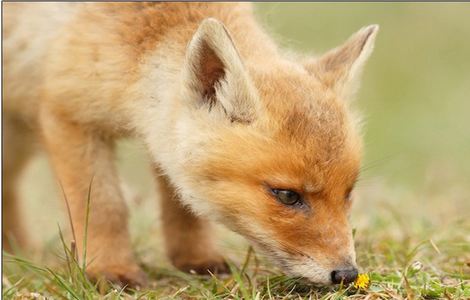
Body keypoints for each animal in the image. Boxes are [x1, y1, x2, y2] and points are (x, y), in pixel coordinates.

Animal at [3, 2, 378, 288]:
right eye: (286, 195)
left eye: (348, 193)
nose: (347, 274)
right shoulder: (66, 112)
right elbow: (104, 208)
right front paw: (110, 270)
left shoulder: (165, 134)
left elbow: (183, 207)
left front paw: (196, 260)